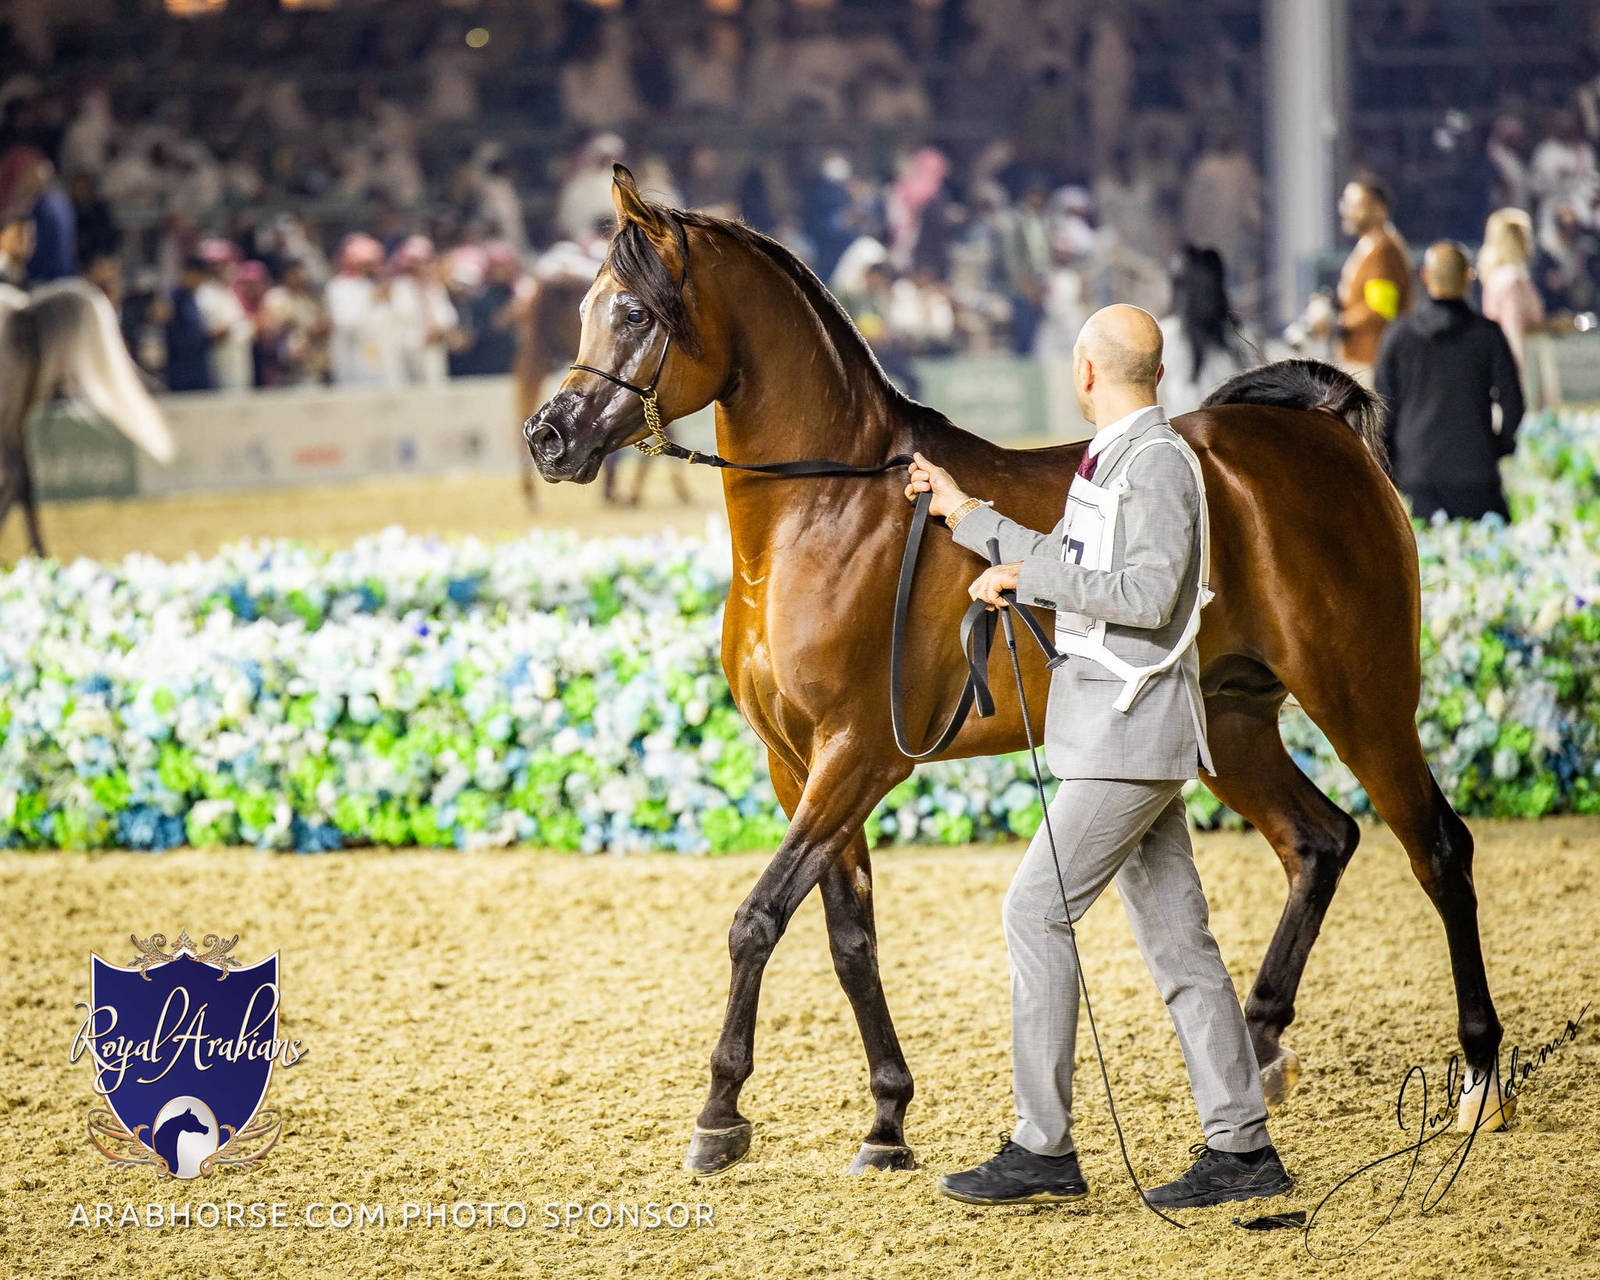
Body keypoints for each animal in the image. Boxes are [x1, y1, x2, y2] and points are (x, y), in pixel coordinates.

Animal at [0, 279, 174, 557]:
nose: (158, 385)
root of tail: (22, 310)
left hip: (10, 410)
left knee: (14, 476)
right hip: (17, 410)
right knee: (21, 478)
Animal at [523, 166, 1507, 1177]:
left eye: (635, 312)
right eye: (587, 307)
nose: (547, 438)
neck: (829, 510)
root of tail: (1321, 440)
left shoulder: (857, 756)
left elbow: (759, 917)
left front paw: (719, 1114)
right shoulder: (797, 765)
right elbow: (848, 935)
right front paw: (886, 1119)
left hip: (1363, 699)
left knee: (1437, 847)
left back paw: (1477, 1077)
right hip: (1231, 722)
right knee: (1319, 841)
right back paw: (1262, 1041)